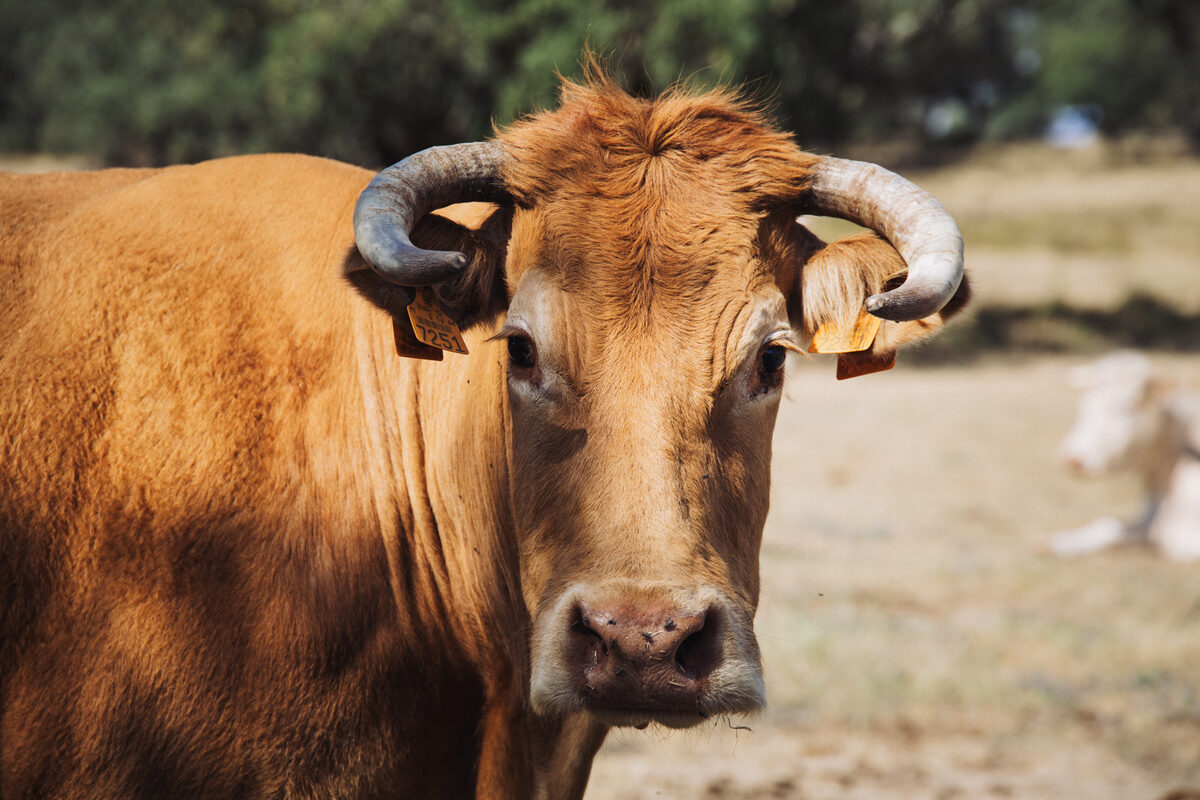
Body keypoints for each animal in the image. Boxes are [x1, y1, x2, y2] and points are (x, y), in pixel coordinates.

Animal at [1051, 352, 1200, 561]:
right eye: (1083, 405)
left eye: (1126, 407)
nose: (1072, 459)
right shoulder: (1149, 519)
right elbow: (1109, 526)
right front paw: (1063, 542)